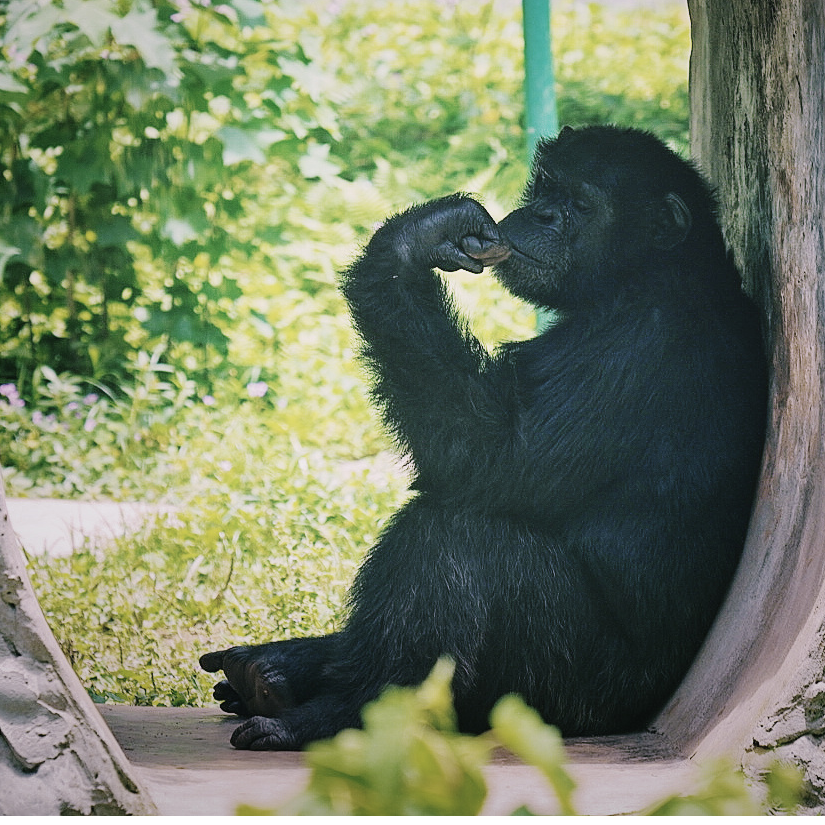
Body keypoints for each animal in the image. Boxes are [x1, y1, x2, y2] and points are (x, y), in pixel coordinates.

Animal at [198, 125, 768, 748]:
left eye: (579, 204)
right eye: (547, 186)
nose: (542, 214)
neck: (646, 274)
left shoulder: (633, 351)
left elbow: (491, 458)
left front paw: (408, 244)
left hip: (570, 688)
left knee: (458, 536)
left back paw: (341, 713)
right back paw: (278, 669)